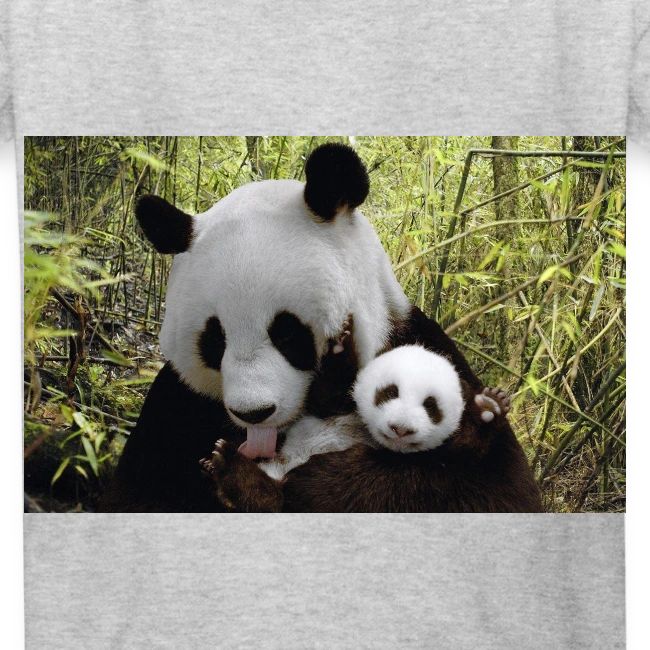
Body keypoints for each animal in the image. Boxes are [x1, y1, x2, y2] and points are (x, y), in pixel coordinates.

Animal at [100, 143, 541, 513]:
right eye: (215, 340)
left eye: (287, 333)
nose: (254, 413)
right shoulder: (177, 407)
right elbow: (138, 493)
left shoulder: (421, 347)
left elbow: (488, 489)